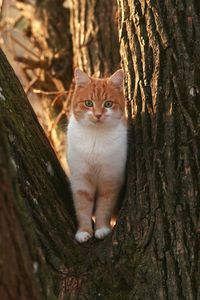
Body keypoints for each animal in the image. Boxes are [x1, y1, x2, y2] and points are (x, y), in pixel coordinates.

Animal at [67, 67, 126, 243]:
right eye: (88, 103)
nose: (98, 115)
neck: (95, 138)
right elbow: (82, 207)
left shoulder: (111, 179)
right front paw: (84, 231)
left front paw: (101, 229)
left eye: (108, 104)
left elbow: (103, 207)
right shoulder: (80, 179)